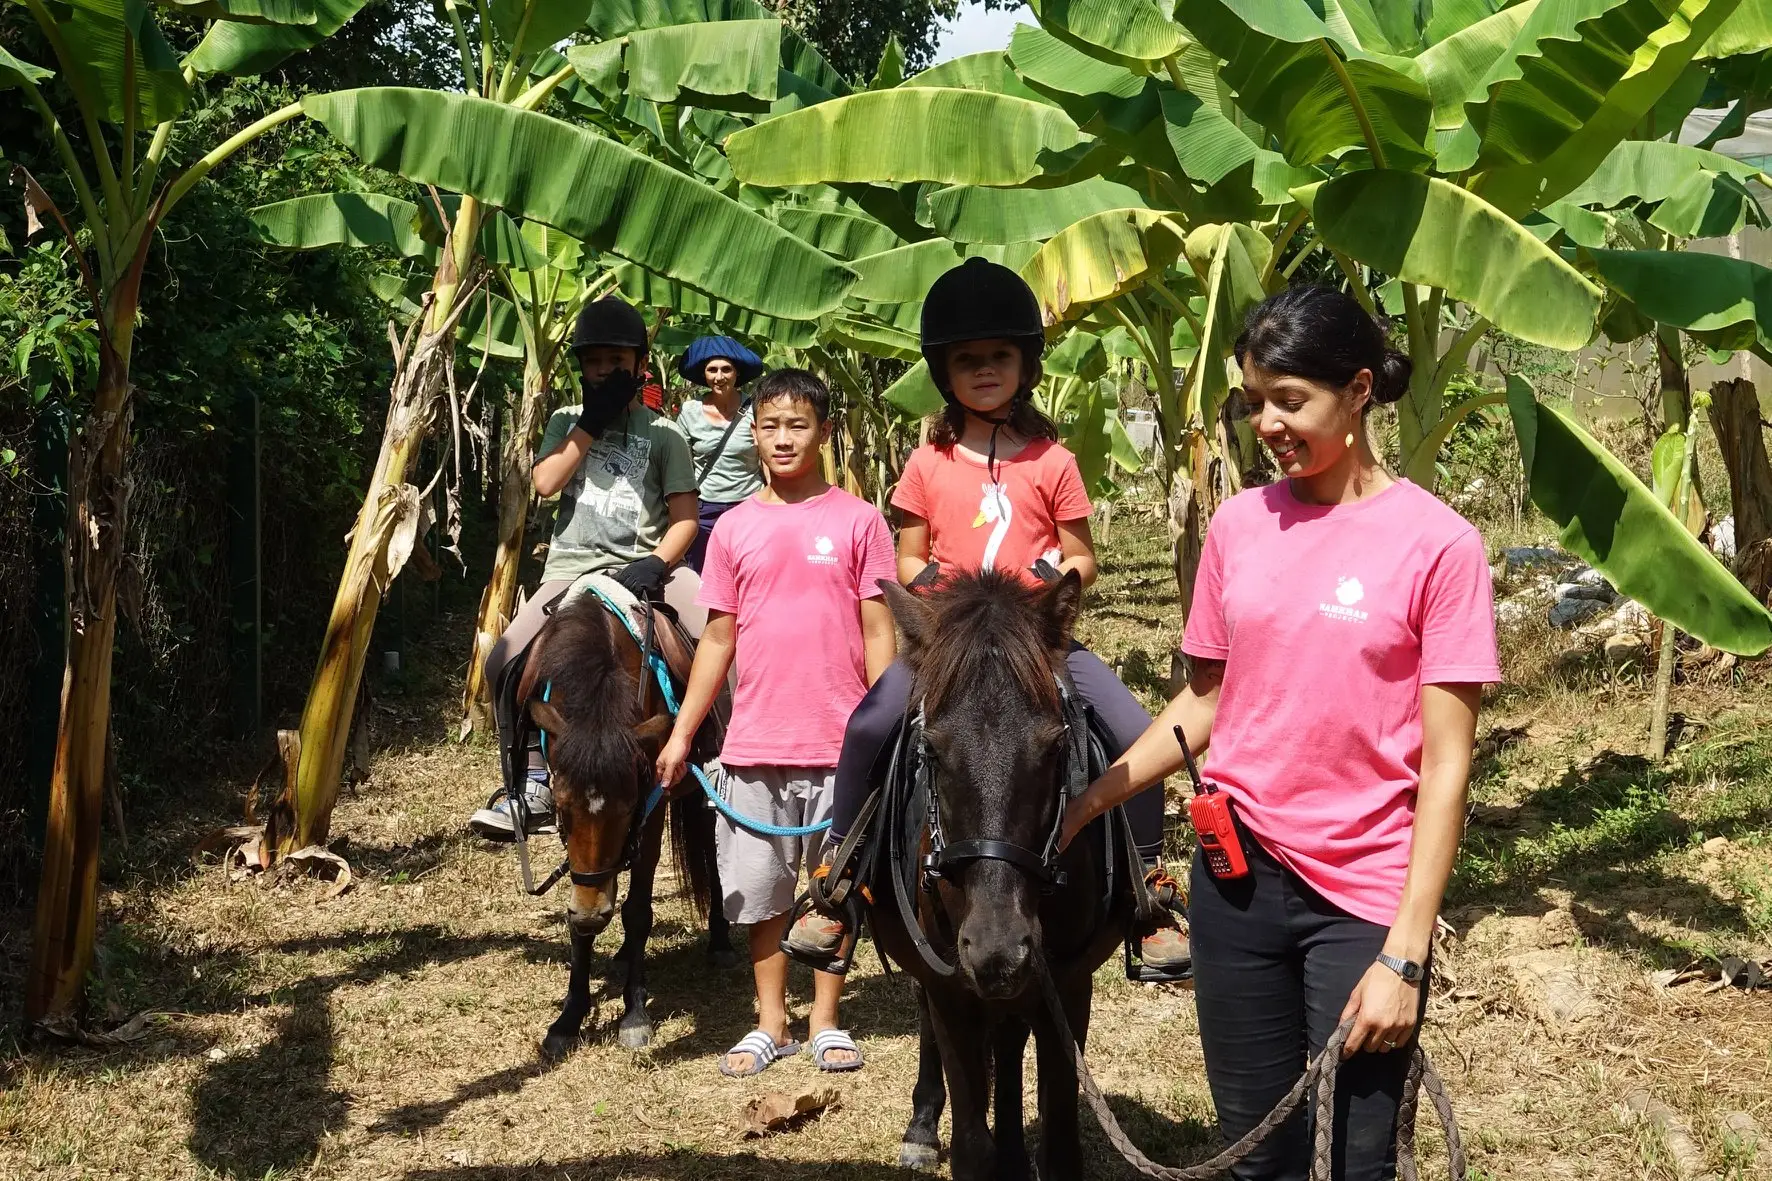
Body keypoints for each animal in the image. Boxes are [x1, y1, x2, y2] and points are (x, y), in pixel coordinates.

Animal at [518, 593, 734, 1060]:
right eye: (561, 807)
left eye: (629, 806)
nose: (592, 913)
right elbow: (580, 913)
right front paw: (569, 1018)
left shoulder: (650, 810)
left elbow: (637, 911)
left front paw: (634, 1014)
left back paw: (720, 941)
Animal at [870, 569, 1137, 1180]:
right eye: (931, 749)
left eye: (1056, 746)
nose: (998, 948)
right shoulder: (950, 989)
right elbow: (972, 1146)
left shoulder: (1068, 985)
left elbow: (1060, 1143)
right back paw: (923, 1128)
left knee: (1011, 1040)